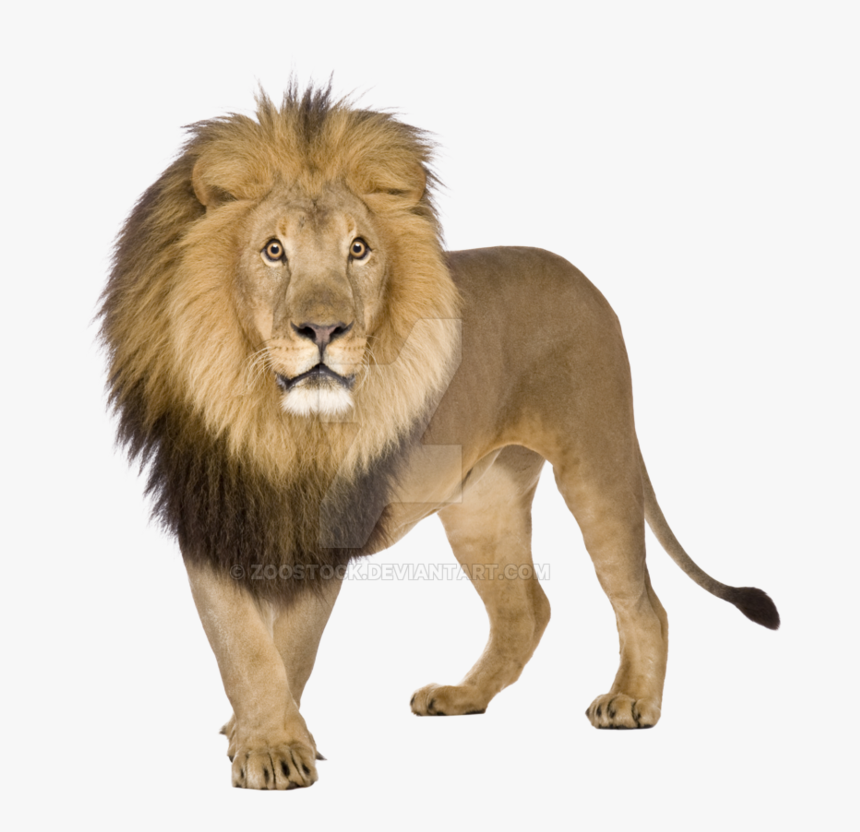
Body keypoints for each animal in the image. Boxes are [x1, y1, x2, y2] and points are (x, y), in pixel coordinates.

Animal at [100, 84, 779, 790]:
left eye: (359, 249)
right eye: (273, 250)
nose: (325, 330)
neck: (275, 422)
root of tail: (585, 282)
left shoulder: (329, 527)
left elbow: (289, 647)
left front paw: (274, 746)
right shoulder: (208, 514)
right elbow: (242, 643)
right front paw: (260, 737)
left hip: (597, 460)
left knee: (642, 599)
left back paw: (632, 700)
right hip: (482, 502)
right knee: (525, 610)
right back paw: (462, 697)